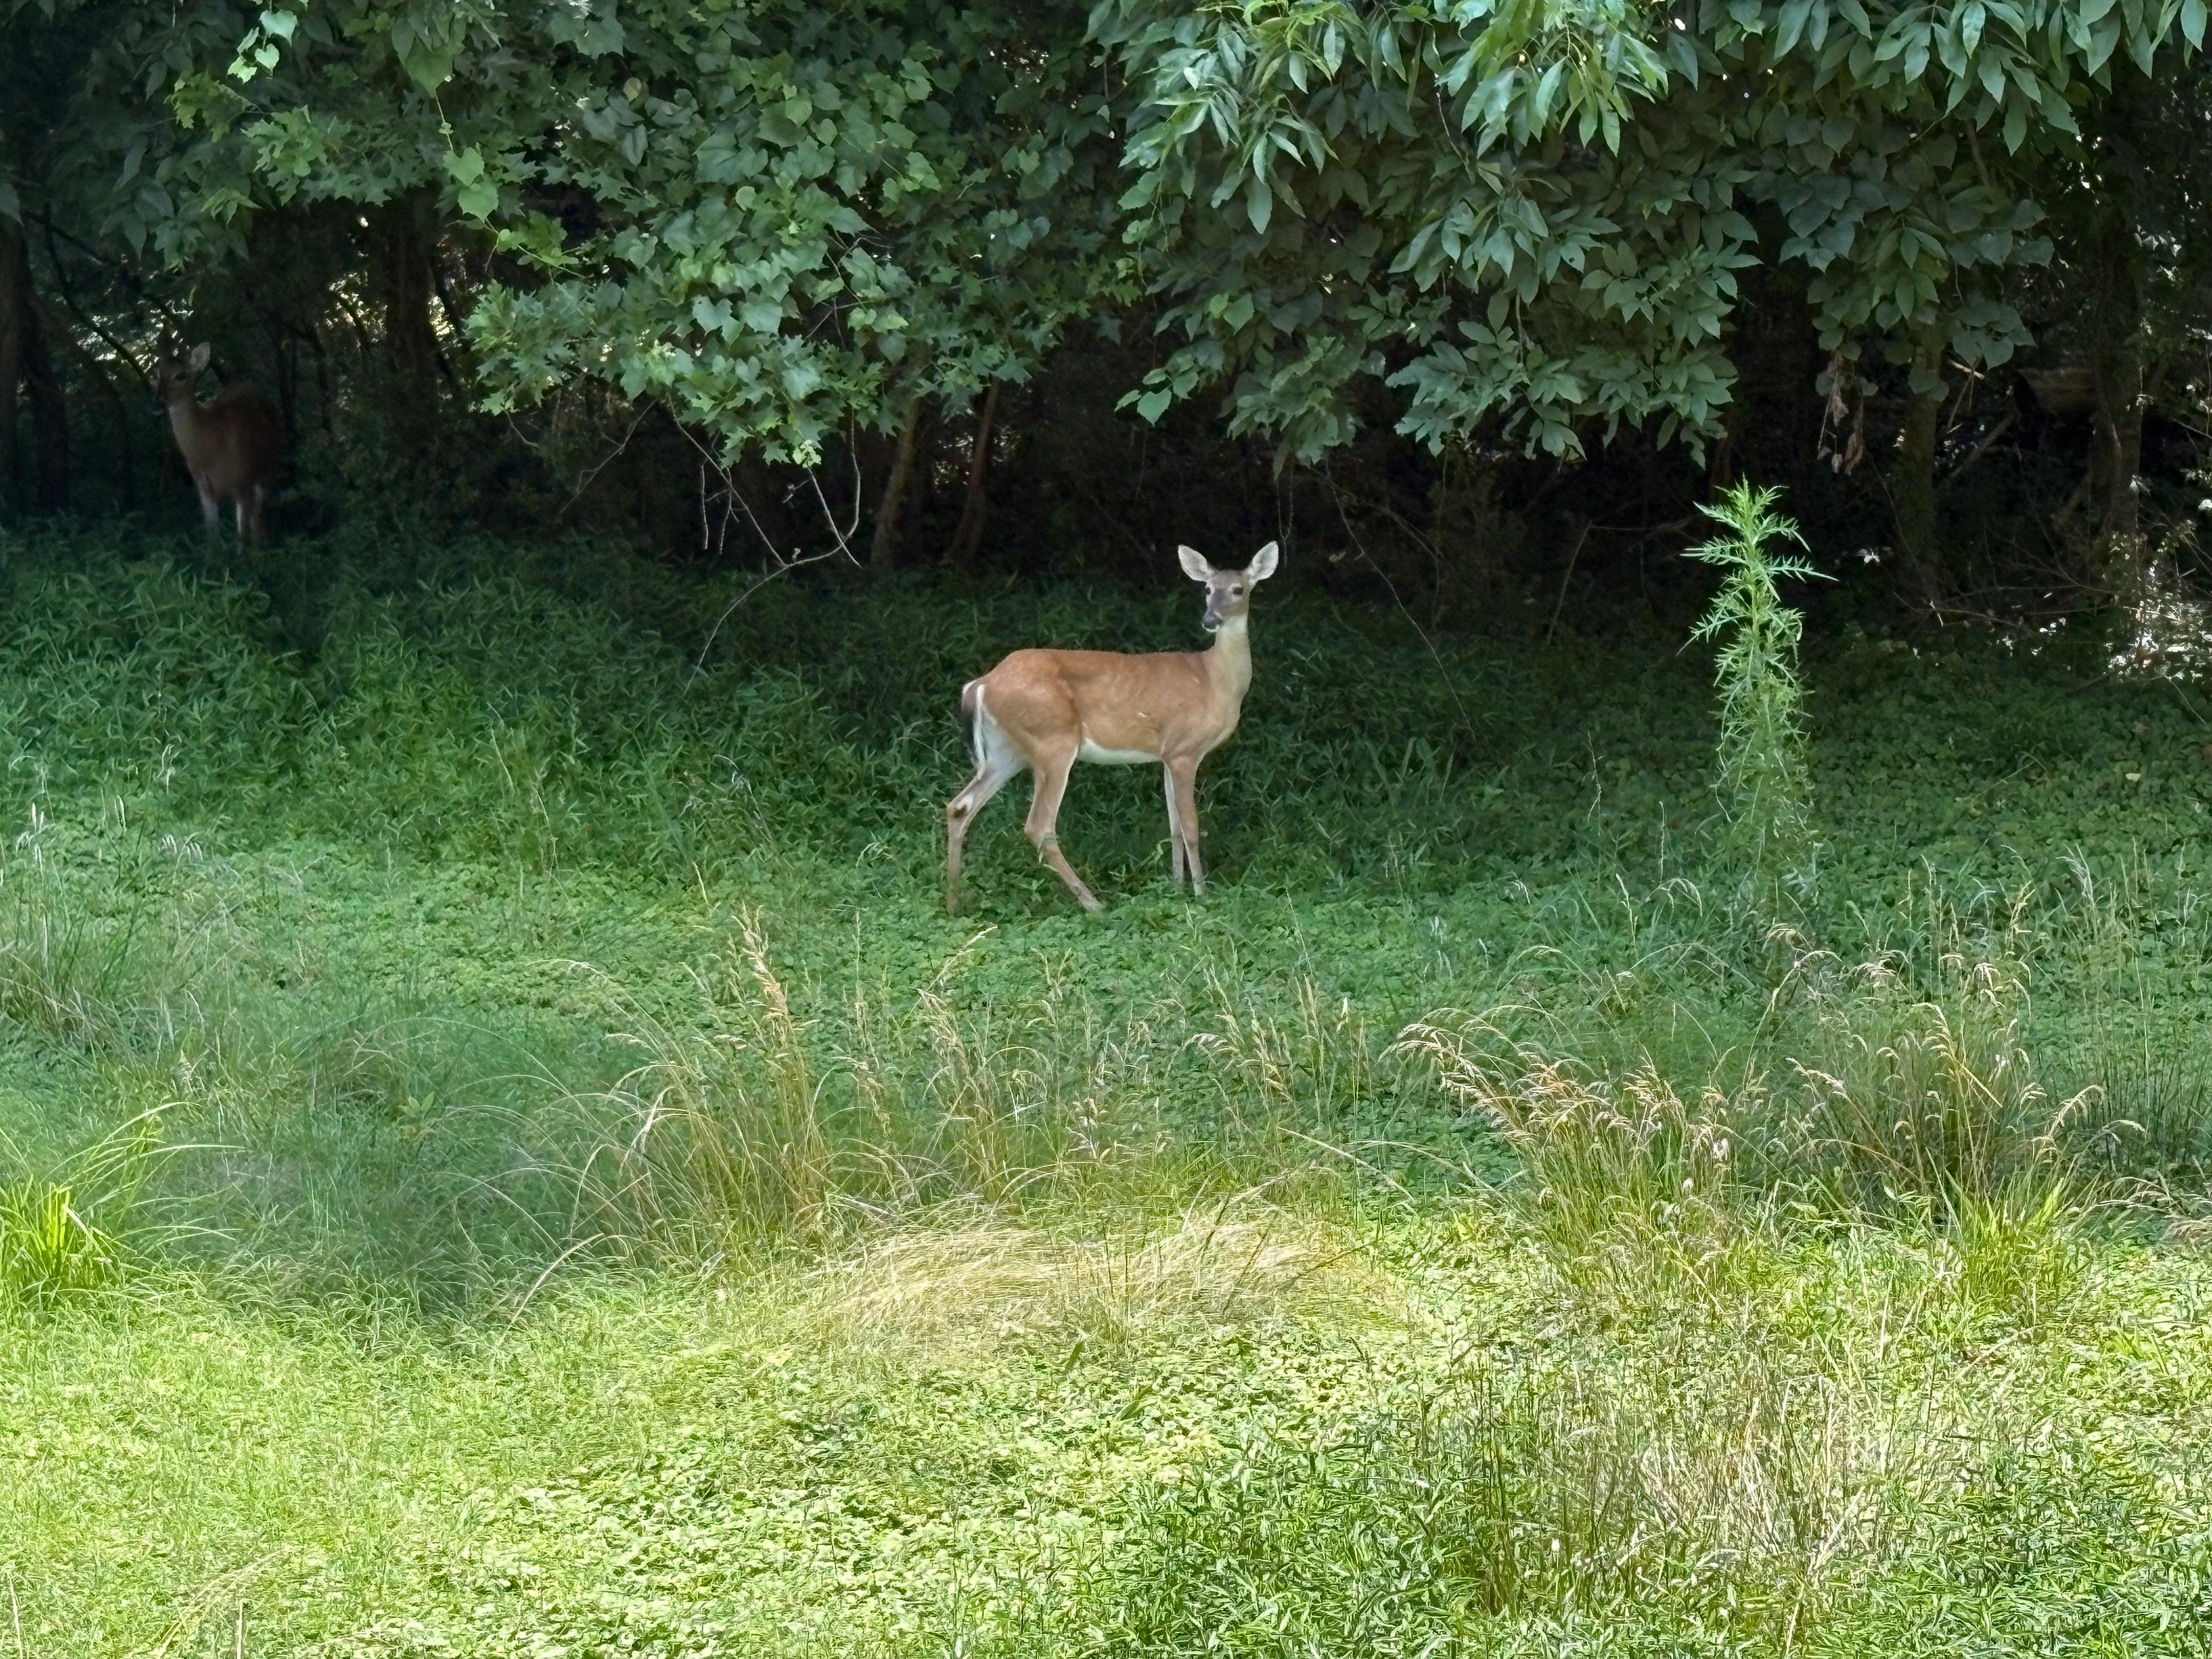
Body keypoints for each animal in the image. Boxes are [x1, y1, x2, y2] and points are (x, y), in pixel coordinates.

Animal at [147, 340, 283, 546]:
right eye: (155, 374)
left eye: (181, 376)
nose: (157, 402)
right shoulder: (204, 490)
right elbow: (212, 539)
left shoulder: (243, 484)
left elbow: (241, 541)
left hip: (268, 469)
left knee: (259, 517)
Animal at [945, 541, 1280, 914]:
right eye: (1207, 589)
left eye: (1238, 589)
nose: (1211, 620)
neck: (1215, 680)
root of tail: (980, 684)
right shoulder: (1185, 750)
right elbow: (1192, 827)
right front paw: (1201, 894)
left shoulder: (1167, 754)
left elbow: (1174, 825)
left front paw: (1176, 887)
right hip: (1053, 741)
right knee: (1038, 826)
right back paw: (1094, 904)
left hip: (1006, 751)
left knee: (960, 806)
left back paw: (954, 902)